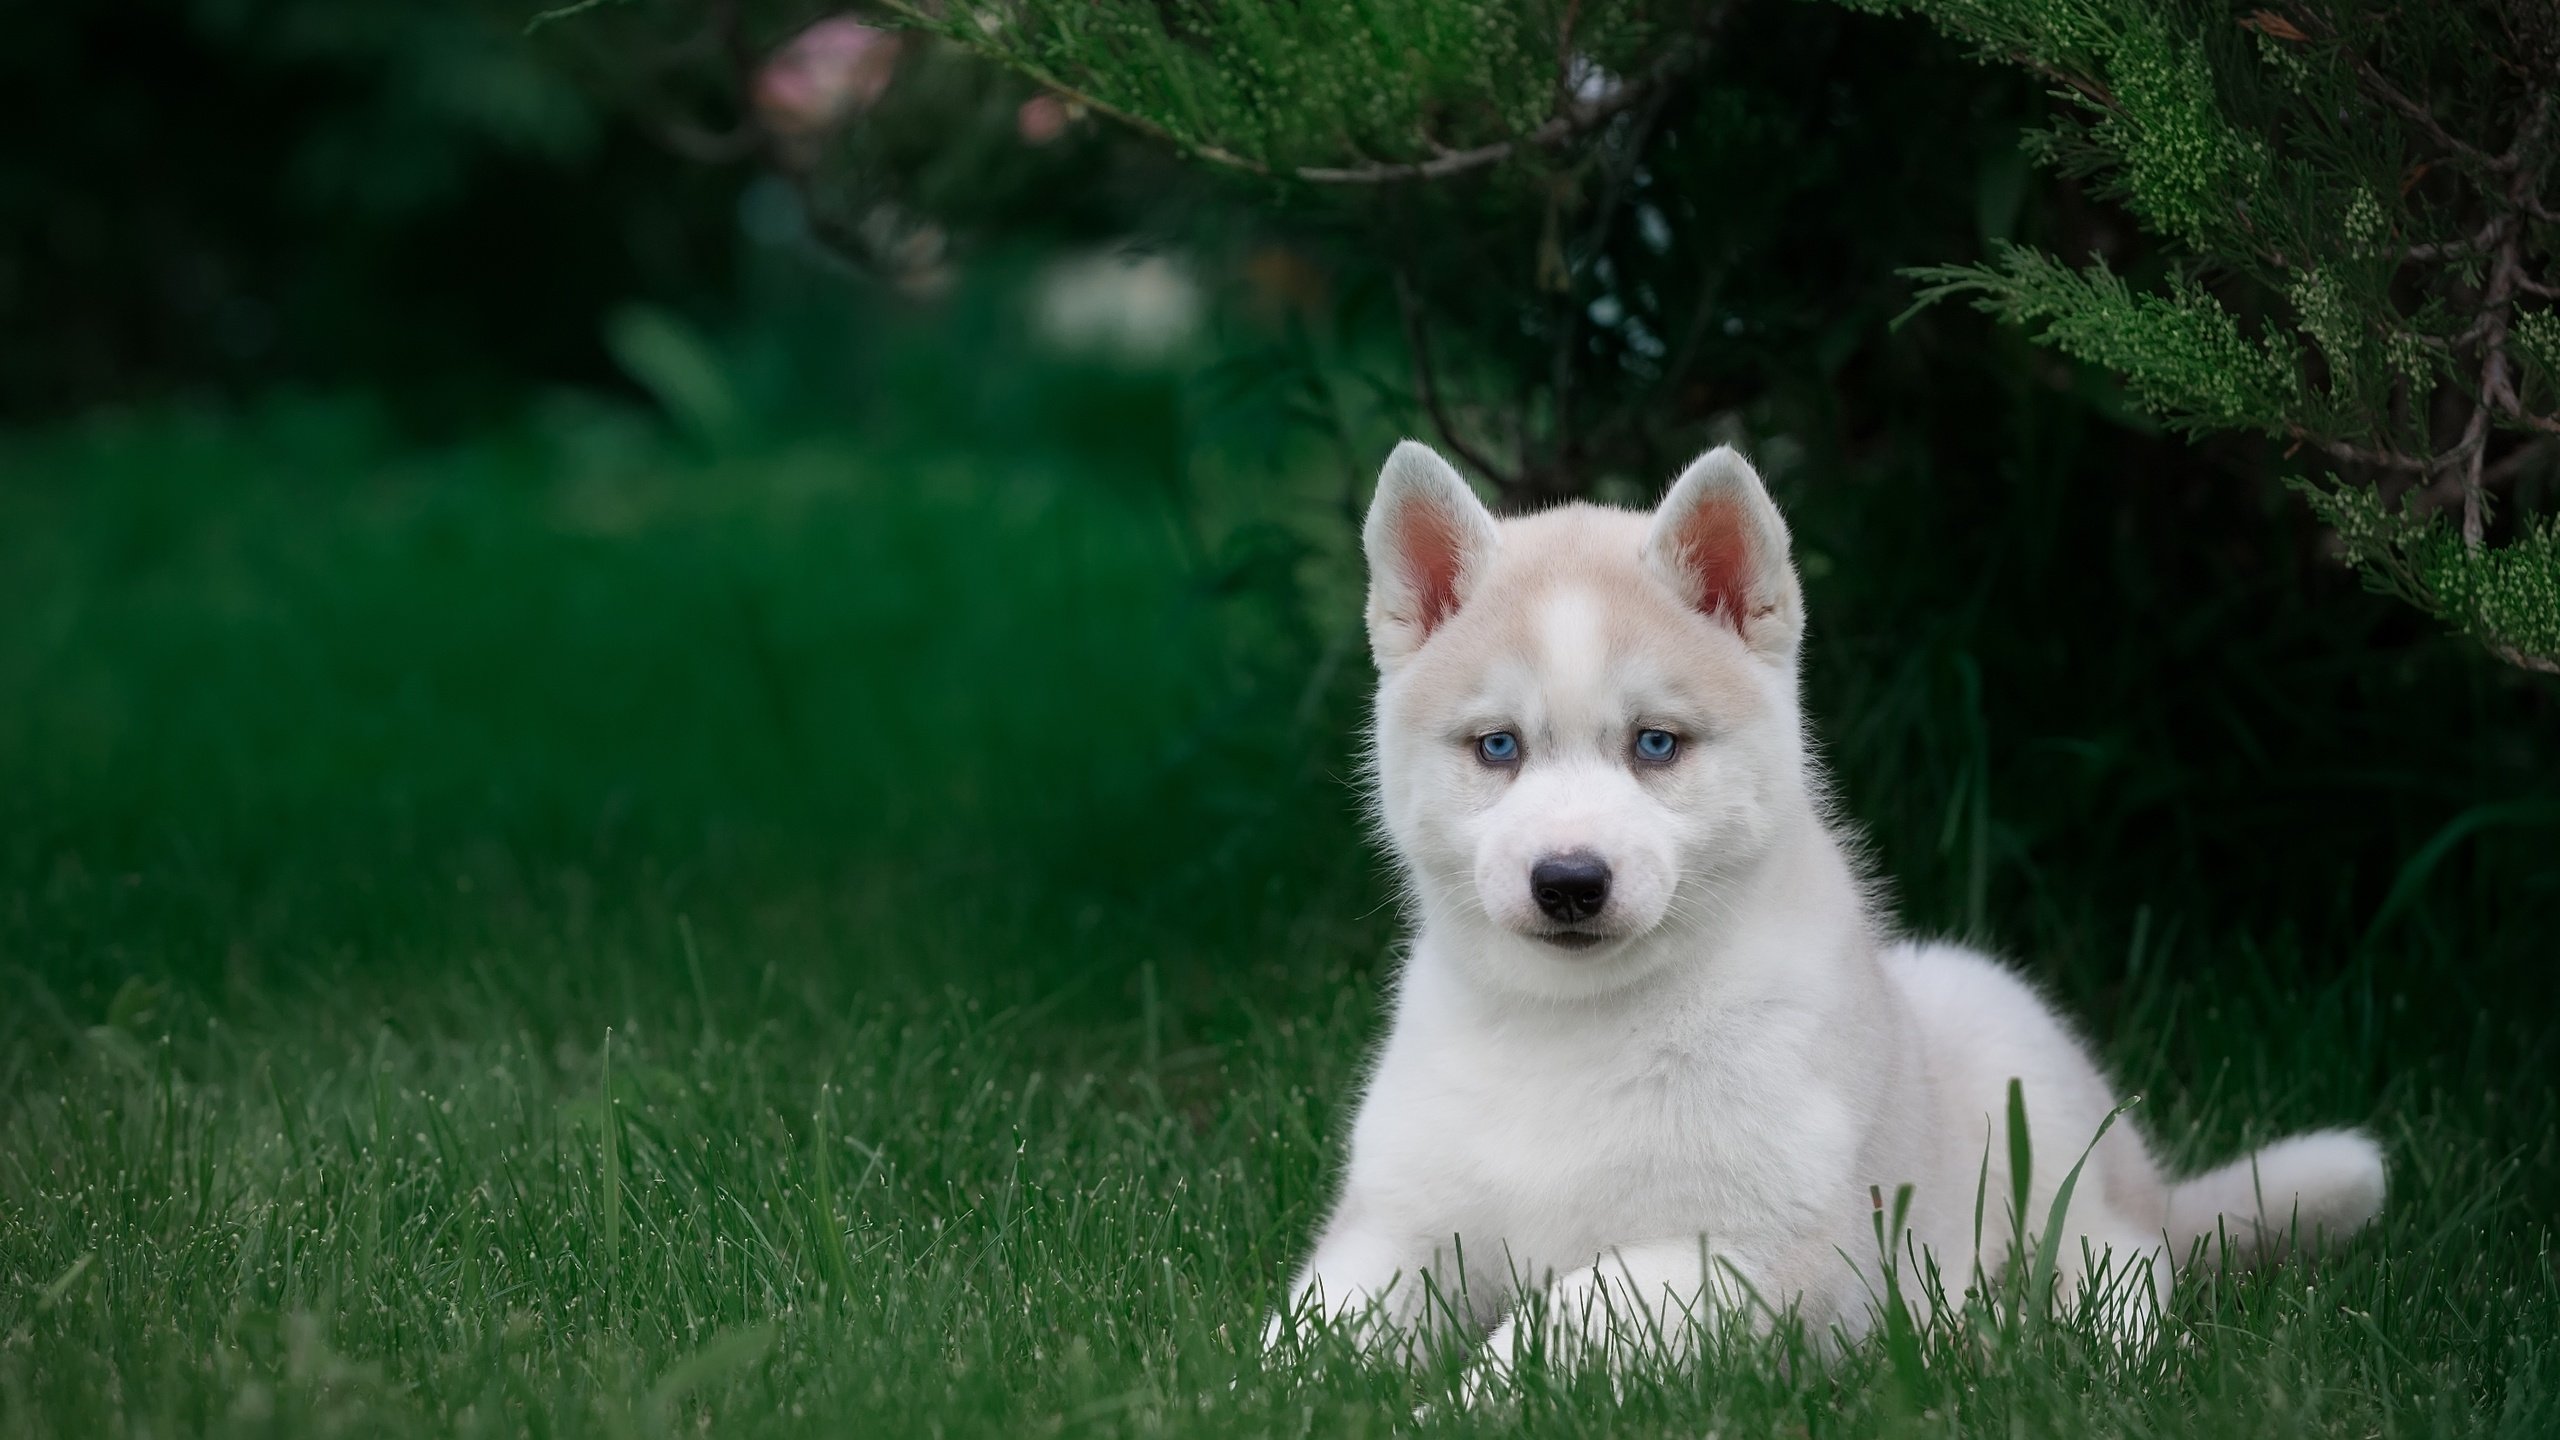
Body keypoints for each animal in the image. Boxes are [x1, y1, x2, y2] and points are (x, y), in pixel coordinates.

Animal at [1269, 440, 2385, 1383]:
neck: (1572, 1029)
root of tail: (2148, 1181)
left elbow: (1560, 1321)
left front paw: (1458, 1403)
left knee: (2125, 1270)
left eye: (1655, 744)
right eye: (1497, 747)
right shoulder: (1397, 1226)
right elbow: (1305, 1333)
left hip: (2017, 1069)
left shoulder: (1747, 1253)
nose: (1570, 879)